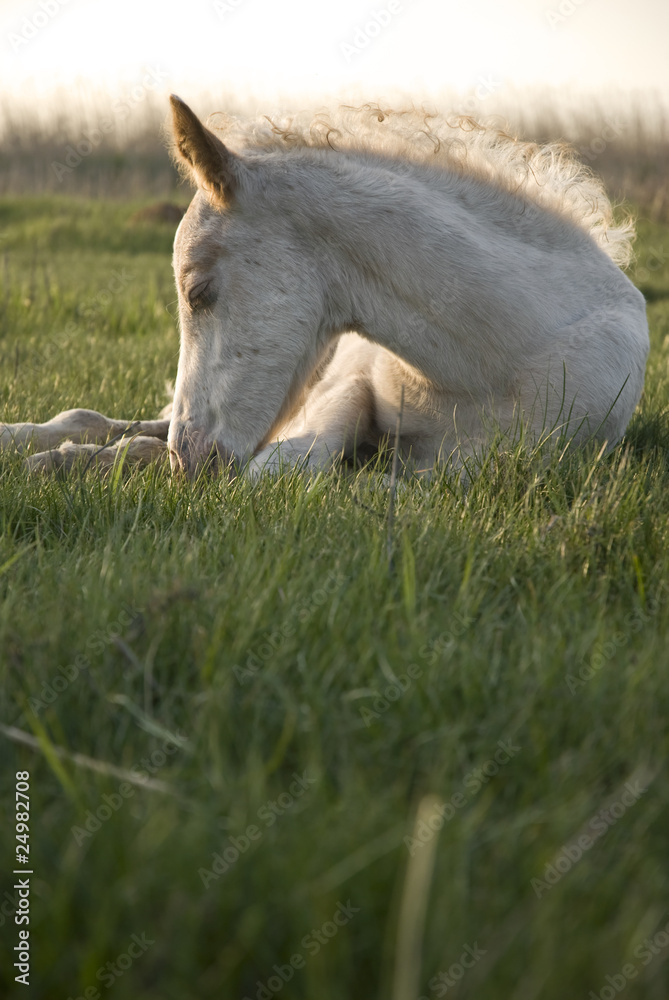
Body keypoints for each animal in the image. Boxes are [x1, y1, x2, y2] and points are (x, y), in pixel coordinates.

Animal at [1, 97, 649, 478]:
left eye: (198, 291)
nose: (192, 460)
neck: (489, 365)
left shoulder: (475, 471)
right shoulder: (342, 388)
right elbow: (286, 466)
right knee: (107, 420)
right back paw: (44, 449)